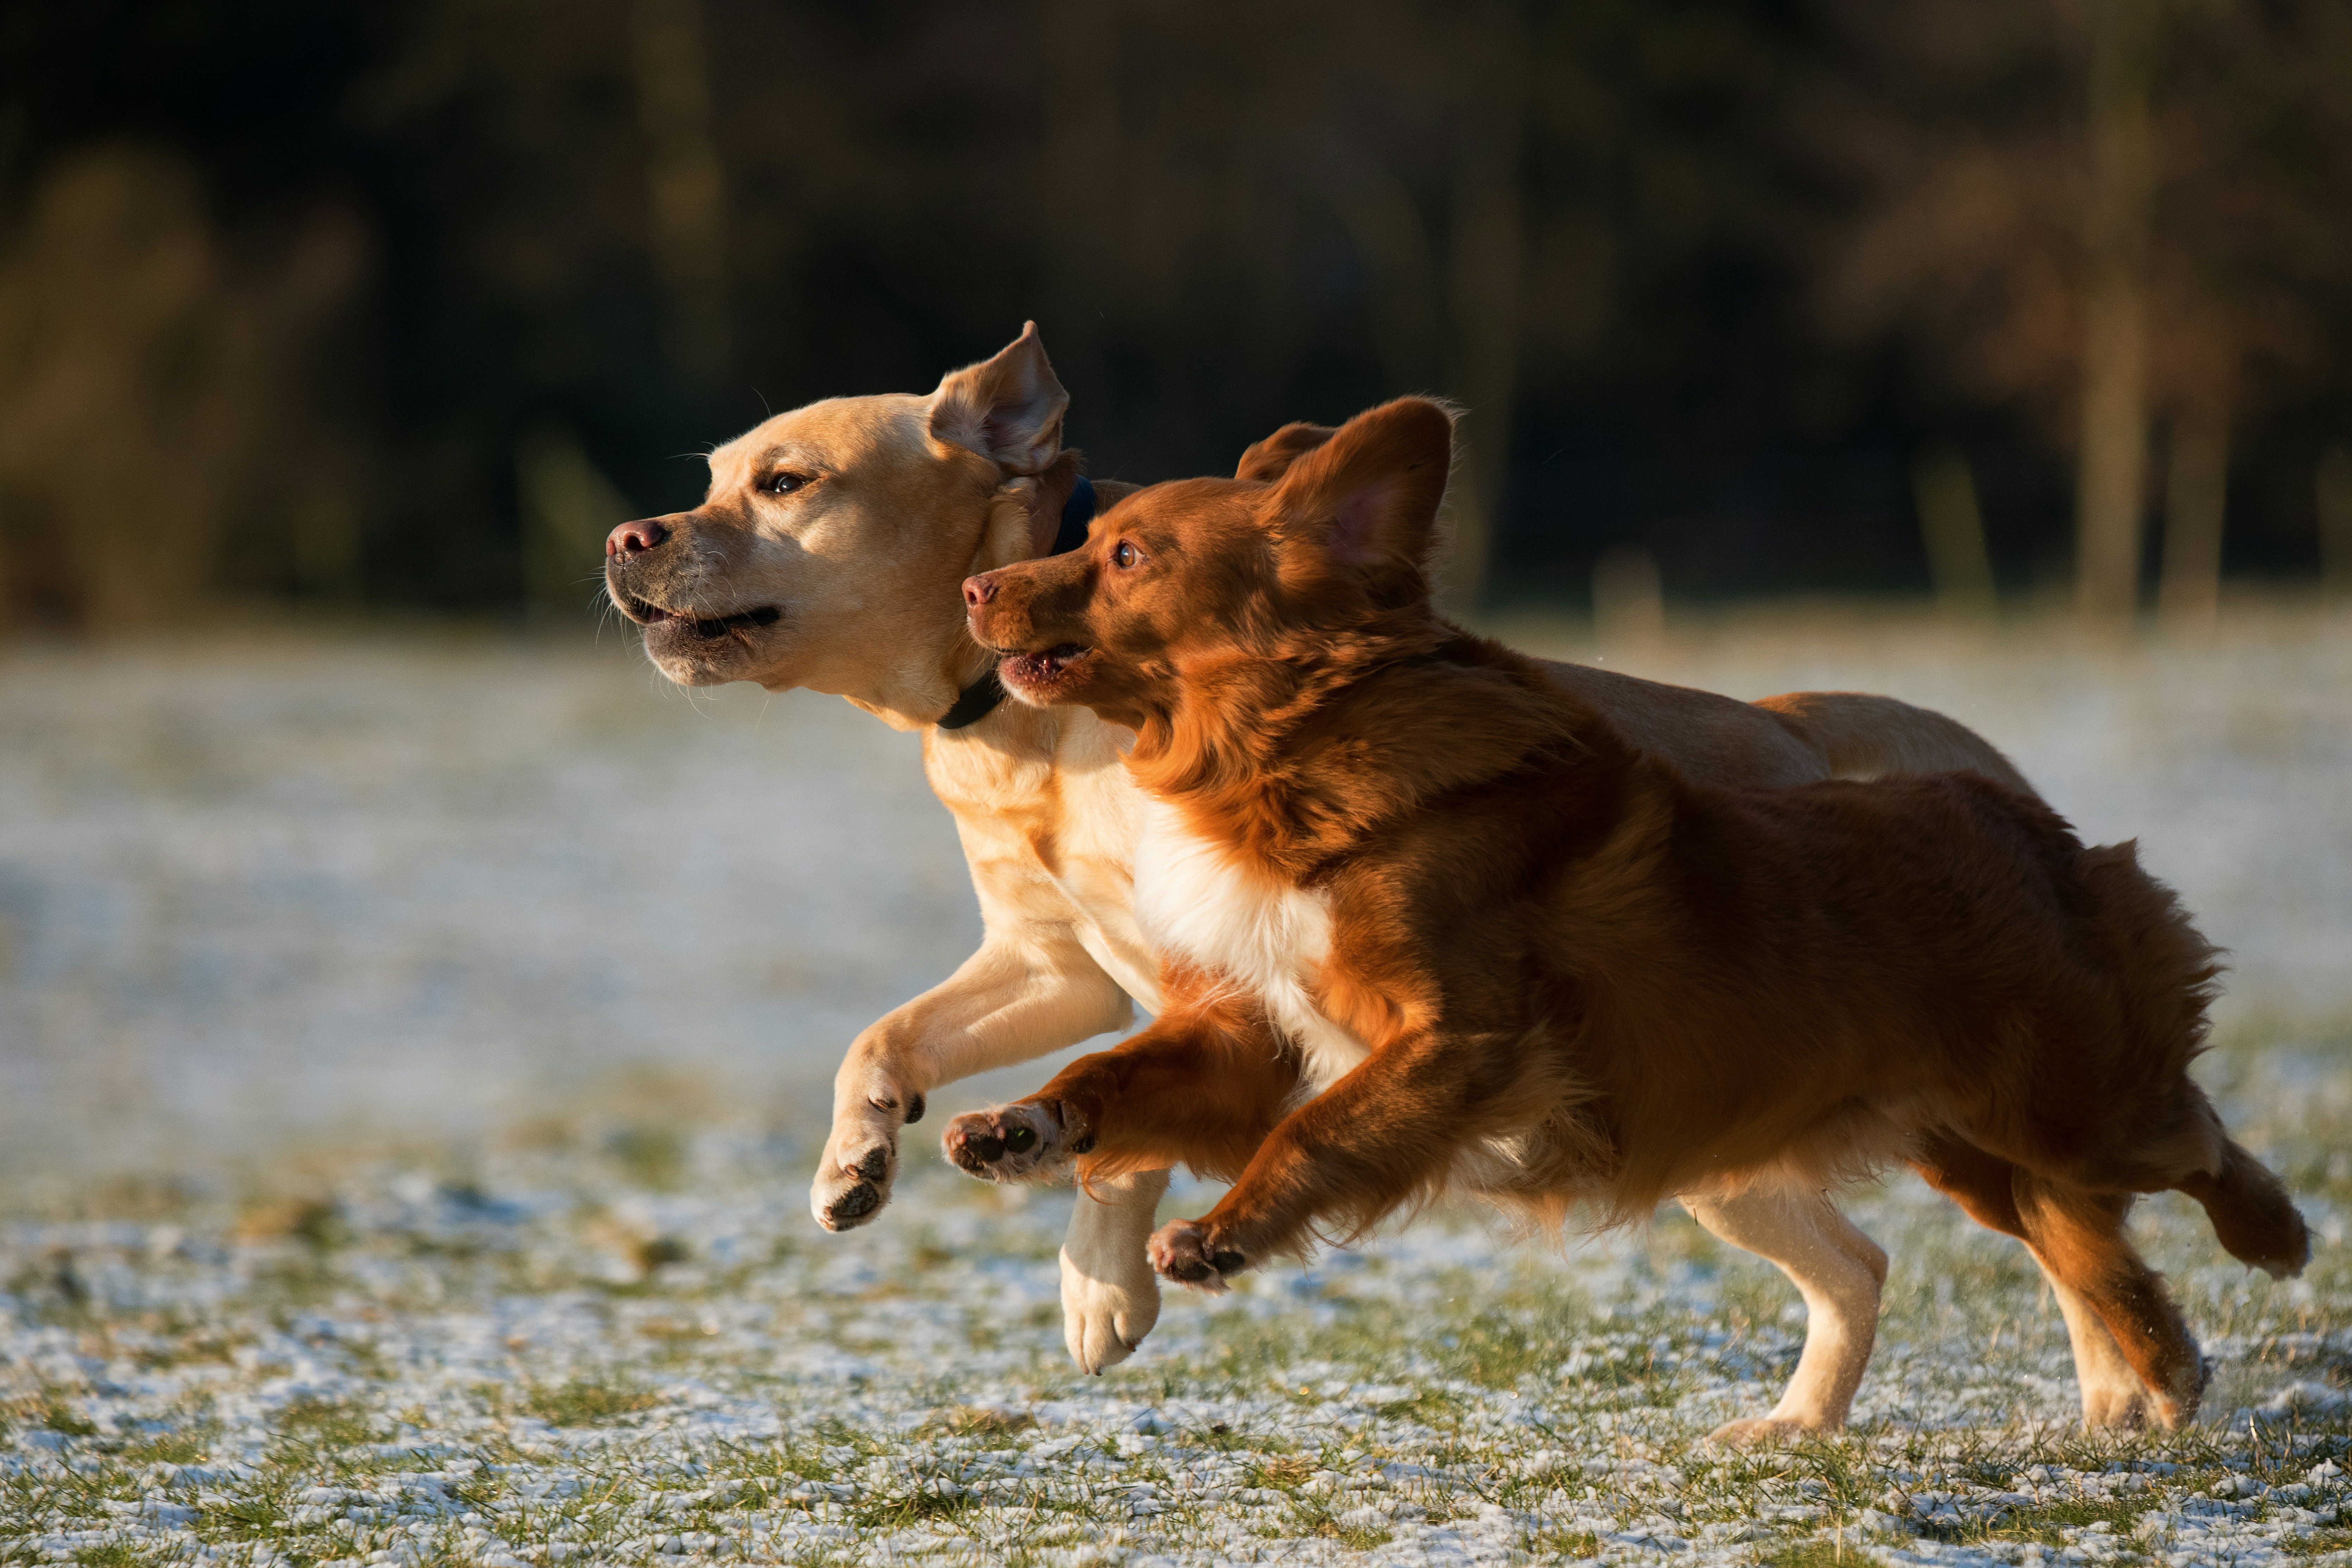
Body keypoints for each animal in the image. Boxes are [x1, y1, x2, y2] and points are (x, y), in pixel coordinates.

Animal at [945, 395, 2305, 1438]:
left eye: (1128, 556)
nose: (972, 586)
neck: (1285, 756)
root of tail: (2017, 814)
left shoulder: (1460, 1037)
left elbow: (1320, 1133)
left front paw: (1221, 1233)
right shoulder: (1262, 1030)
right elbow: (1121, 1072)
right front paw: (1020, 1125)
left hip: (2068, 1108)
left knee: (2190, 1143)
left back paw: (2274, 1240)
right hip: (1968, 1143)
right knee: (2066, 1245)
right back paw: (2138, 1375)